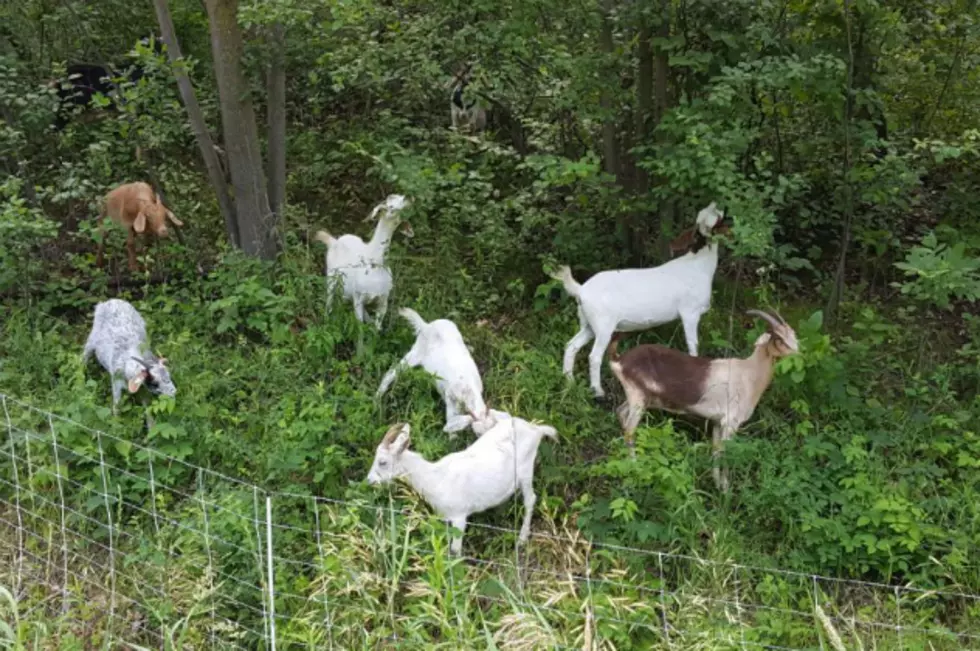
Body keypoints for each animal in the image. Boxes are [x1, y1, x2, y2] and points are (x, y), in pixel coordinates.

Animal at [310, 192, 410, 326]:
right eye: (391, 206)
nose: (408, 199)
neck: (375, 264)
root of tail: (334, 241)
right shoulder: (358, 298)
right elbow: (359, 325)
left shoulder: (383, 301)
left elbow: (376, 327)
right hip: (331, 278)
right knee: (329, 300)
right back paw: (326, 319)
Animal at [366, 418, 560, 556]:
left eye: (382, 462)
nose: (369, 481)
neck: (435, 477)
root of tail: (536, 430)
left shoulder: (459, 517)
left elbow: (455, 550)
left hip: (526, 471)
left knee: (530, 500)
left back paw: (522, 539)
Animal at [376, 306, 498, 438]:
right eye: (479, 434)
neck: (466, 390)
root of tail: (426, 326)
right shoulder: (451, 403)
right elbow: (451, 423)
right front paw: (453, 437)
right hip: (415, 354)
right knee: (392, 372)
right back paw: (378, 395)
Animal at [552, 202, 728, 398]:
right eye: (716, 220)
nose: (717, 205)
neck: (699, 264)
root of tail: (581, 290)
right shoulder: (690, 313)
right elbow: (693, 345)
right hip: (603, 324)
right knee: (594, 356)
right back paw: (598, 392)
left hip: (588, 323)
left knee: (571, 346)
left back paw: (569, 382)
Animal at [608, 308, 800, 492]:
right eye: (779, 339)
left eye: (793, 335)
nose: (799, 355)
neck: (749, 375)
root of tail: (619, 360)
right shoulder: (730, 422)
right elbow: (726, 454)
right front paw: (726, 490)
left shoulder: (717, 422)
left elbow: (716, 451)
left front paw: (718, 485)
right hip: (638, 398)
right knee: (630, 430)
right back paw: (635, 466)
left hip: (637, 399)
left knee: (620, 413)